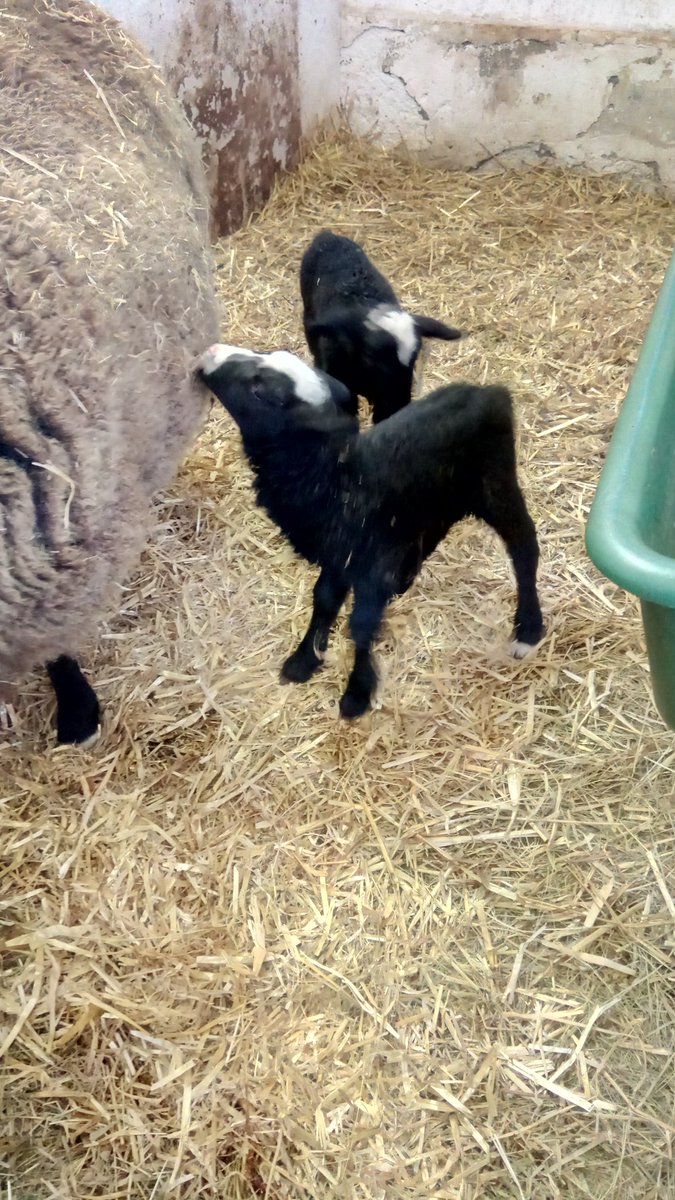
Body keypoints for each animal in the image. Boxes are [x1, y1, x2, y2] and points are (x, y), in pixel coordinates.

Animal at [197, 344, 544, 718]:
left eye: (261, 390)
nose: (211, 351)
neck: (336, 477)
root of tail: (492, 392)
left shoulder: (372, 564)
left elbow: (361, 625)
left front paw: (357, 694)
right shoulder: (340, 555)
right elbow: (324, 601)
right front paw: (304, 660)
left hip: (495, 484)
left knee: (524, 544)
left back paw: (528, 628)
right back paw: (407, 576)